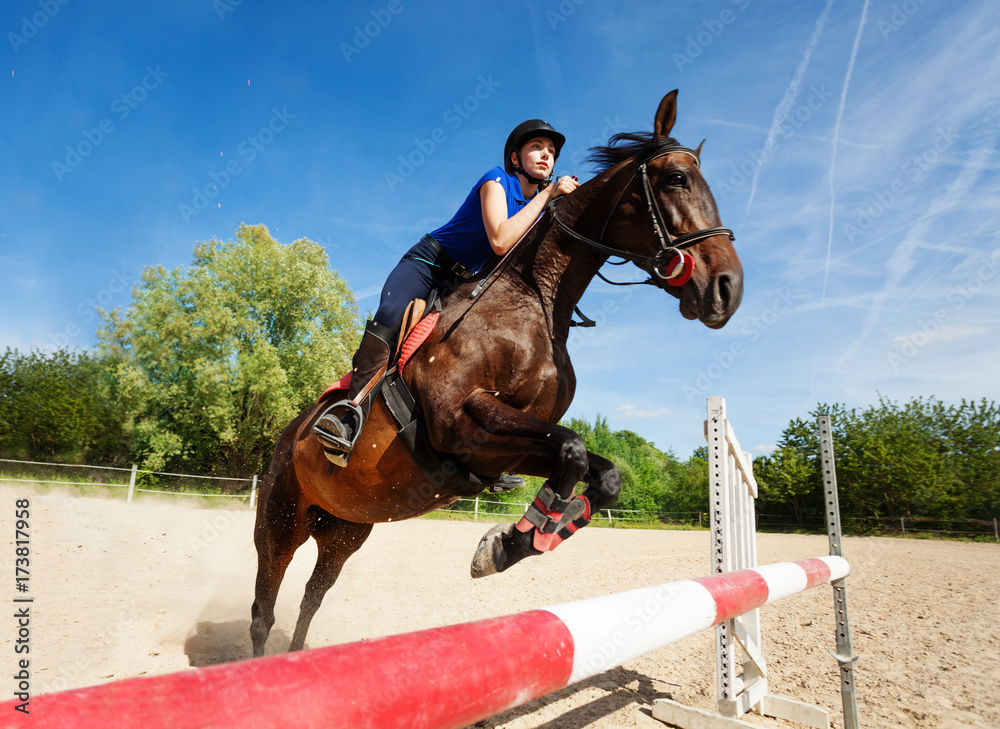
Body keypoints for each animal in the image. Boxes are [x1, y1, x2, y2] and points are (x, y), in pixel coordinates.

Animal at [250, 89, 744, 656]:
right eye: (676, 179)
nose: (728, 288)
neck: (535, 299)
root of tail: (290, 434)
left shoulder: (499, 449)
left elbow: (598, 471)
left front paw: (517, 540)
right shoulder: (458, 420)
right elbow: (573, 448)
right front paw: (510, 541)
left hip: (345, 527)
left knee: (312, 597)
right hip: (280, 520)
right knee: (264, 606)